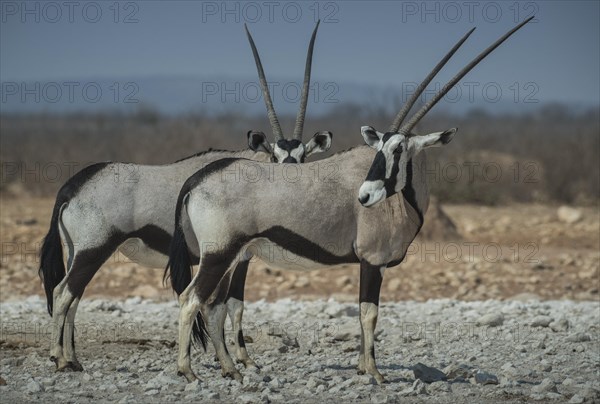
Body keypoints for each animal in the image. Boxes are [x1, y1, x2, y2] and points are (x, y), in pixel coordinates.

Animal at [39, 20, 330, 370]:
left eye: (302, 158)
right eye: (276, 156)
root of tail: (72, 186)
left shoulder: (235, 257)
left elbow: (228, 304)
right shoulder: (235, 256)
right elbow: (229, 304)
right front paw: (242, 359)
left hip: (77, 251)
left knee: (73, 295)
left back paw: (73, 359)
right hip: (93, 249)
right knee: (63, 293)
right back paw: (60, 359)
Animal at [165, 17, 536, 384]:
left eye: (398, 149)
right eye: (381, 148)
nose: (365, 195)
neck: (401, 201)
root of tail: (197, 179)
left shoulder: (365, 264)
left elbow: (360, 313)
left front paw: (361, 366)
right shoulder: (373, 260)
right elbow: (369, 313)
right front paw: (374, 372)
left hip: (230, 257)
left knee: (212, 305)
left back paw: (229, 368)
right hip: (220, 254)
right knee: (191, 299)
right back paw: (187, 370)